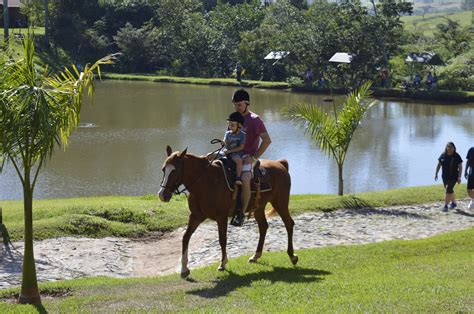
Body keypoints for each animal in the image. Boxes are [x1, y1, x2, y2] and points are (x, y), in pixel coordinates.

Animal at [157, 145, 296, 278]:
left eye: (174, 171)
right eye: (163, 169)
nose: (162, 195)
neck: (206, 182)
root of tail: (280, 164)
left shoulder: (221, 217)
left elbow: (222, 239)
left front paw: (223, 263)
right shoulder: (196, 216)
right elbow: (185, 237)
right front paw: (184, 269)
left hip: (280, 203)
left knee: (289, 224)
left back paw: (292, 255)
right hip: (259, 207)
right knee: (263, 227)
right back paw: (256, 256)